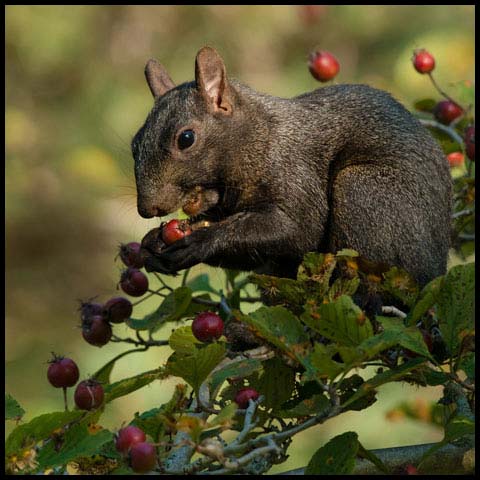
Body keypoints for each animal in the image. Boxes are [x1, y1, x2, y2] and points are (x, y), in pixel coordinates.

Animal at [133, 47, 452, 288]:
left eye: (186, 138)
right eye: (135, 142)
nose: (147, 209)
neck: (259, 141)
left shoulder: (296, 171)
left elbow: (299, 229)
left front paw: (200, 241)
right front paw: (152, 244)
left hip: (366, 192)